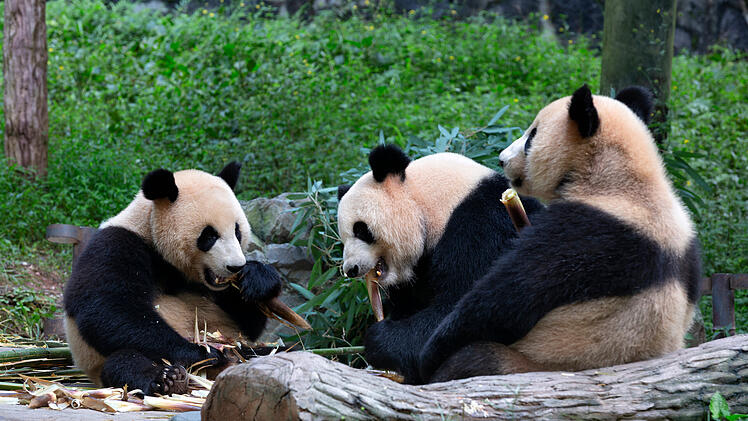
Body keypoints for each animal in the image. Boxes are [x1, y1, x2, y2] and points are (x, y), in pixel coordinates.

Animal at [63, 162, 283, 395]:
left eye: (237, 231)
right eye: (209, 235)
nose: (235, 266)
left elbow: (249, 325)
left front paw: (257, 278)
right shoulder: (118, 244)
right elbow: (108, 308)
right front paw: (203, 353)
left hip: (248, 350)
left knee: (272, 351)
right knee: (124, 359)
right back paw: (167, 377)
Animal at [336, 145, 543, 383]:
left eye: (360, 229)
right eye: (343, 238)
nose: (351, 269)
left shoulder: (481, 227)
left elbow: (456, 307)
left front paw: (379, 339)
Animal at [418, 85, 702, 383]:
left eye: (532, 136)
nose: (502, 159)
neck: (624, 182)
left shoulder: (586, 233)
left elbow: (503, 301)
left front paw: (429, 355)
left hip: (529, 362)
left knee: (474, 359)